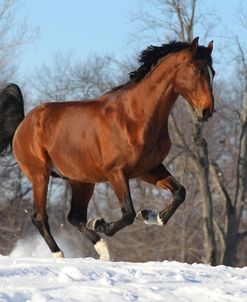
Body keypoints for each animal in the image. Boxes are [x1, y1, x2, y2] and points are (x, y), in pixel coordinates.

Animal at [0, 37, 214, 260]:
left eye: (213, 72)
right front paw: (102, 223)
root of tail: (23, 124)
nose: (207, 111)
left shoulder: (149, 169)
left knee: (74, 217)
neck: (135, 117)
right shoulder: (117, 173)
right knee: (40, 217)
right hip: (40, 175)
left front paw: (151, 216)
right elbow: (128, 214)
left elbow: (180, 192)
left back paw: (103, 250)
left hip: (82, 181)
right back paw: (59, 254)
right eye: (196, 70)